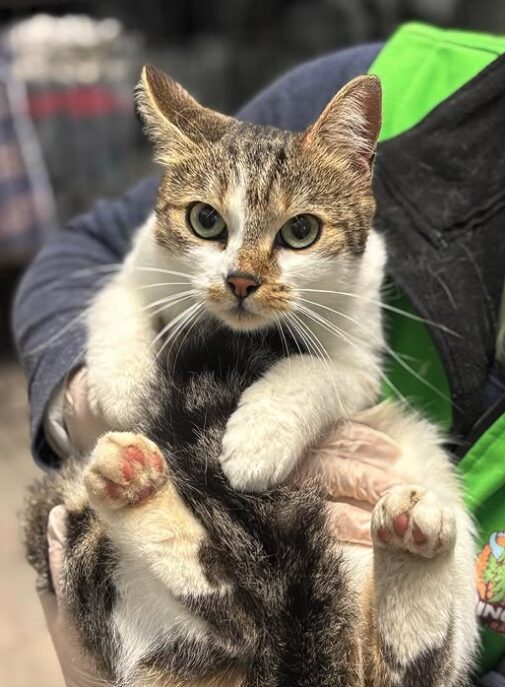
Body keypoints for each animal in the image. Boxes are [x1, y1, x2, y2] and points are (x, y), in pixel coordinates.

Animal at [24, 66, 476, 687]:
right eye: (205, 219)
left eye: (302, 231)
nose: (240, 280)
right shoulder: (141, 262)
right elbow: (117, 301)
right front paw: (121, 384)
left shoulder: (360, 350)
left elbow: (319, 371)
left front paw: (255, 442)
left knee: (394, 663)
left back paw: (413, 536)